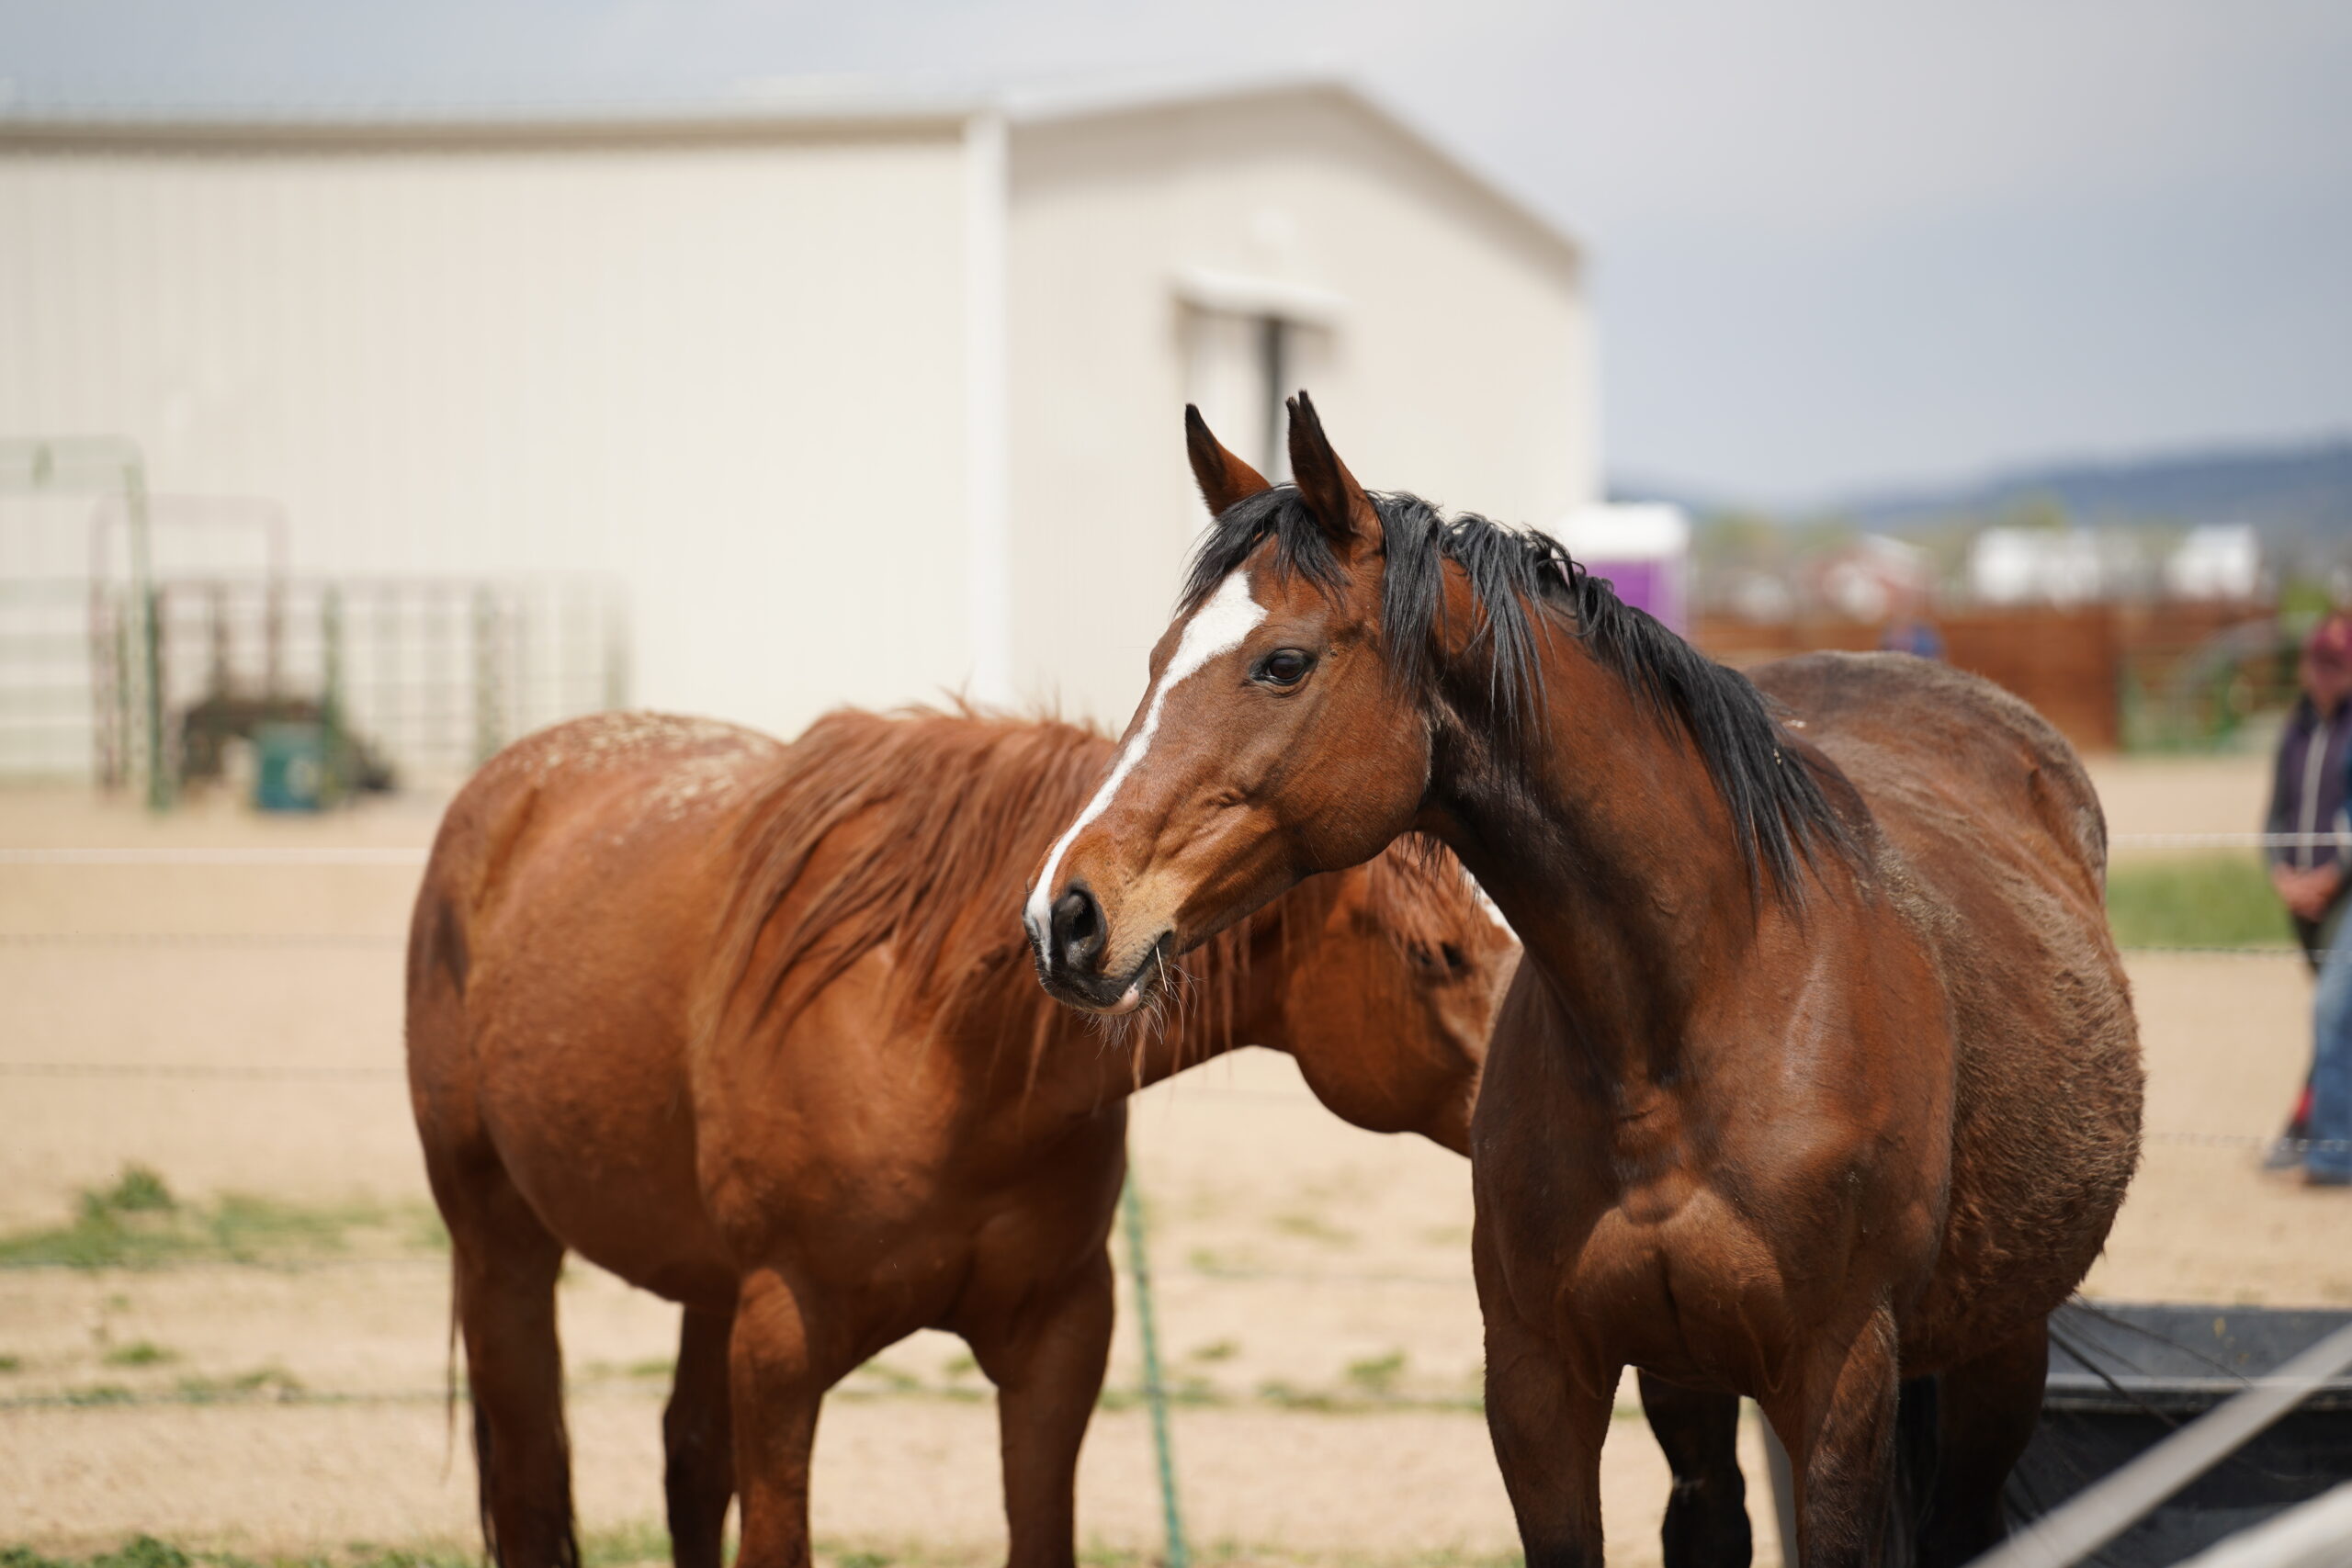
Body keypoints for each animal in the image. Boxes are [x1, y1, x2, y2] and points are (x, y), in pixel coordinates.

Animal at [405, 703, 1516, 1568]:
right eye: (1436, 952)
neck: (942, 1043)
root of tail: (500, 789)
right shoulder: (782, 1338)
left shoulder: (1061, 1336)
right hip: (501, 1250)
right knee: (532, 1485)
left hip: (702, 1289)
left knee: (686, 1463)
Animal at [1023, 395, 2144, 1568]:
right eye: (1158, 656)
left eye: (1282, 663)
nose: (1066, 914)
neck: (1690, 1013)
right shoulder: (1538, 1382)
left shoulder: (1841, 1388)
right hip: (1695, 1382)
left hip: (2000, 1355)